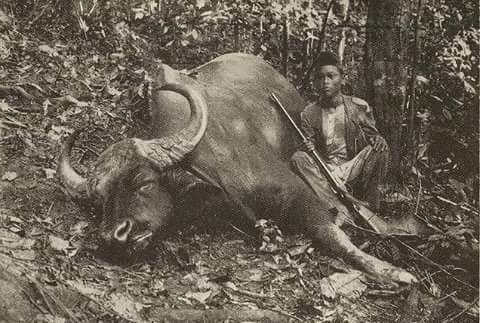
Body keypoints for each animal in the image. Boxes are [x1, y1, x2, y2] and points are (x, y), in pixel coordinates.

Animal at [57, 54, 416, 284]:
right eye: (100, 200)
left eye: (143, 182)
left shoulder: (299, 193)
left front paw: (394, 271)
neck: (215, 162)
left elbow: (335, 237)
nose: (113, 237)